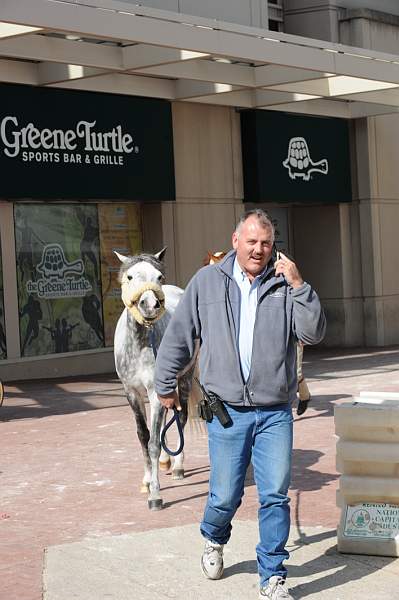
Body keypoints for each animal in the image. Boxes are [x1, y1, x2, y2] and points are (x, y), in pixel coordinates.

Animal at [114, 250, 194, 510]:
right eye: (129, 276)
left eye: (159, 276)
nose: (150, 305)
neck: (140, 343)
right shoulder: (131, 393)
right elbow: (143, 435)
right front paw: (147, 481)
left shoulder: (155, 393)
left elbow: (153, 444)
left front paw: (155, 495)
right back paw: (166, 462)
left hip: (185, 378)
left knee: (181, 417)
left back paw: (177, 466)